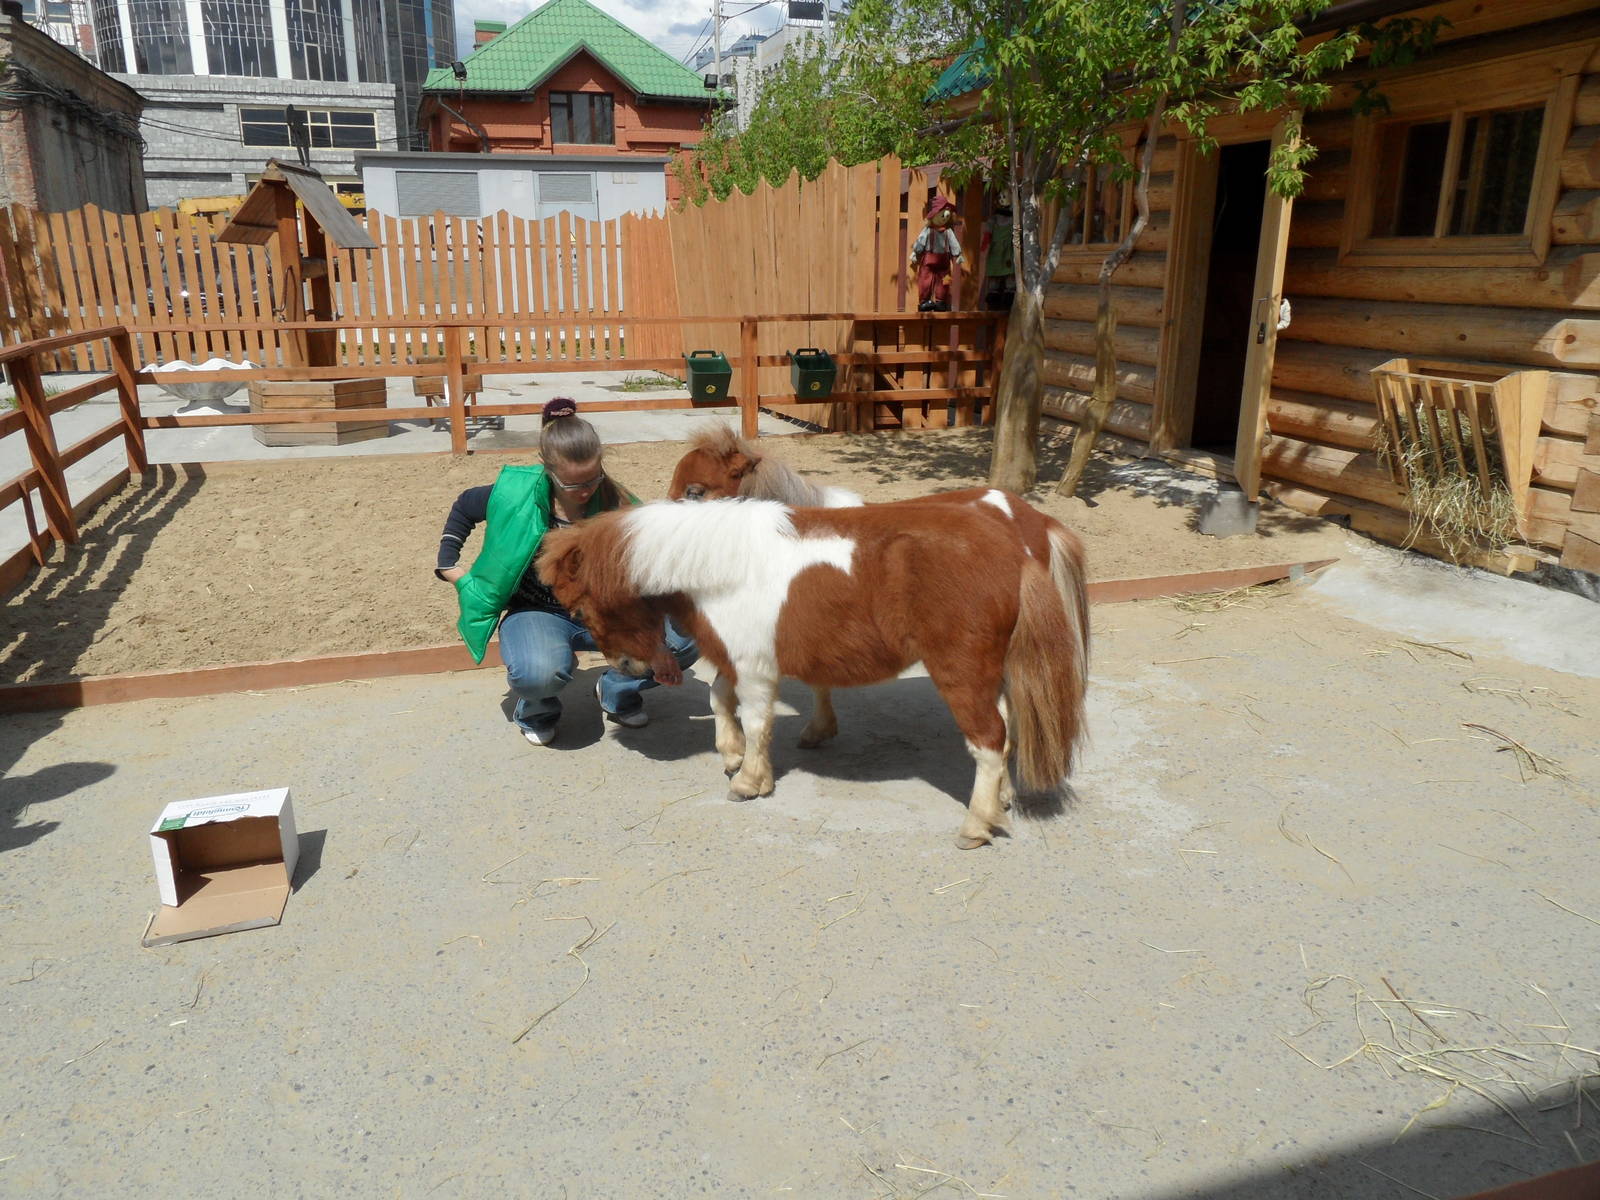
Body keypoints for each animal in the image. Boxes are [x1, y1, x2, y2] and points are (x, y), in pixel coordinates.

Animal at [538, 490, 1089, 848]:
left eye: (581, 611)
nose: (626, 667)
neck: (720, 565)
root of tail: (1013, 551)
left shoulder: (755, 667)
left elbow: (756, 721)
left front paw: (750, 780)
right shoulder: (739, 657)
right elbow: (719, 698)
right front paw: (731, 754)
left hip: (963, 676)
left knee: (990, 742)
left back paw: (976, 826)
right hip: (996, 673)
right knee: (1011, 732)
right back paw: (1001, 803)